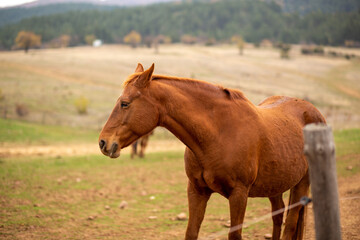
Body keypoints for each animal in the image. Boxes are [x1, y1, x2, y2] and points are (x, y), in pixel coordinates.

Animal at [98, 62, 326, 239]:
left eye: (125, 103)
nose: (103, 142)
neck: (219, 133)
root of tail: (313, 112)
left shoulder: (239, 194)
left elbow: (235, 234)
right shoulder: (196, 190)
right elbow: (191, 232)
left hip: (302, 184)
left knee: (290, 224)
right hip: (275, 186)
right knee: (277, 217)